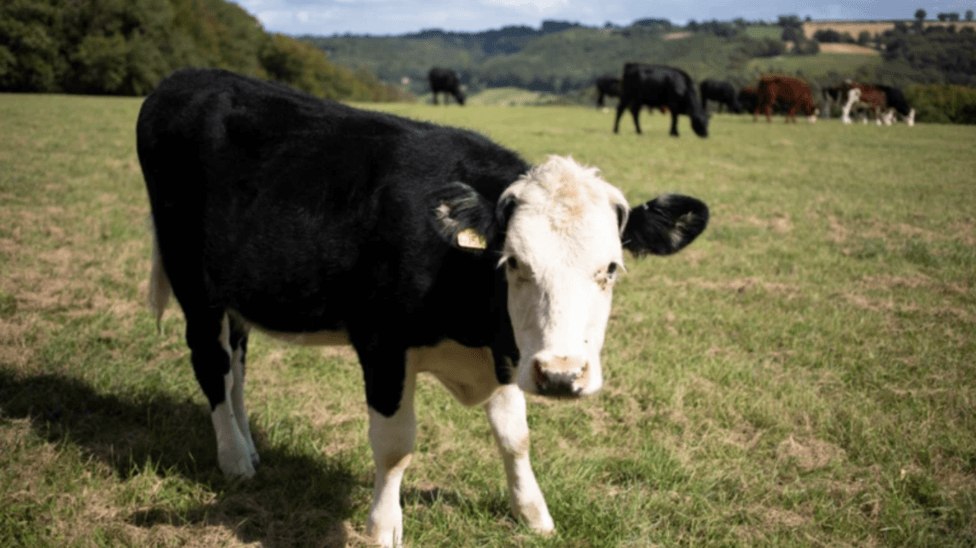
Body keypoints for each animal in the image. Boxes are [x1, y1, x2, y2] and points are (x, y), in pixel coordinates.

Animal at [137, 68, 709, 548]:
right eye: (514, 262)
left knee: (235, 365)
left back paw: (248, 446)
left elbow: (515, 438)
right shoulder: (382, 345)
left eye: (610, 268)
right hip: (192, 281)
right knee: (211, 365)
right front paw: (383, 526)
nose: (561, 375)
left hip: (234, 295)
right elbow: (395, 445)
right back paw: (234, 459)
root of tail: (185, 77)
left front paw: (533, 513)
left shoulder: (506, 352)